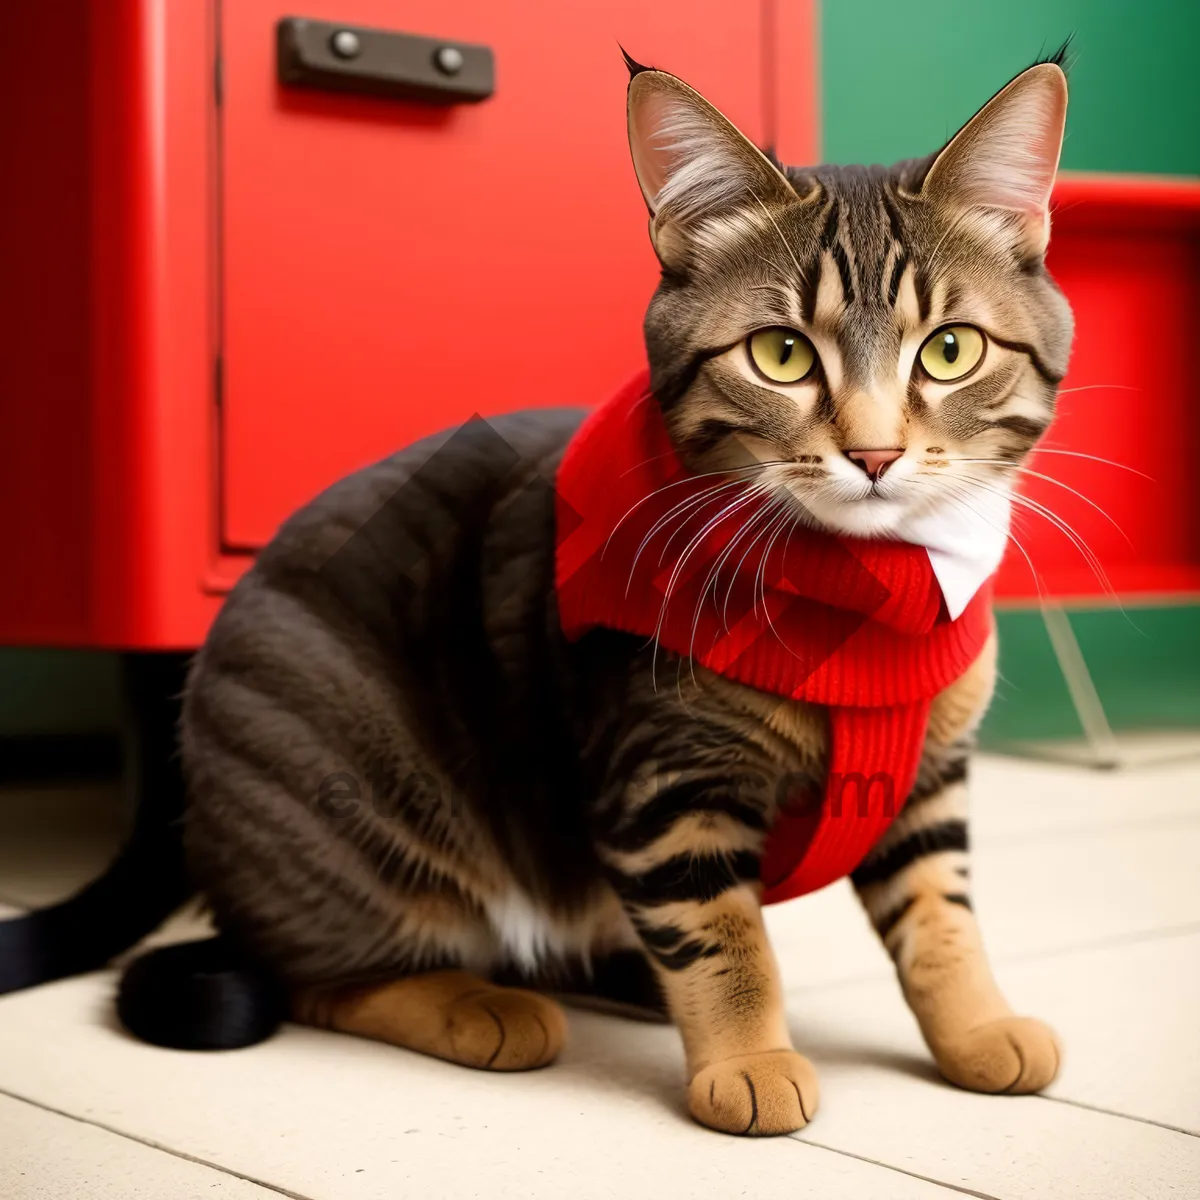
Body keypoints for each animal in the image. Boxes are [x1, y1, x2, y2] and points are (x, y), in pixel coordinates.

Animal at [114, 49, 1070, 1132]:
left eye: (949, 350)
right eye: (781, 354)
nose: (874, 453)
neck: (871, 592)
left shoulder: (928, 782)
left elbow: (940, 917)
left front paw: (978, 1026)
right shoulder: (664, 782)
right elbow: (723, 938)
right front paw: (749, 1059)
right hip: (342, 794)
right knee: (325, 974)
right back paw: (485, 1006)